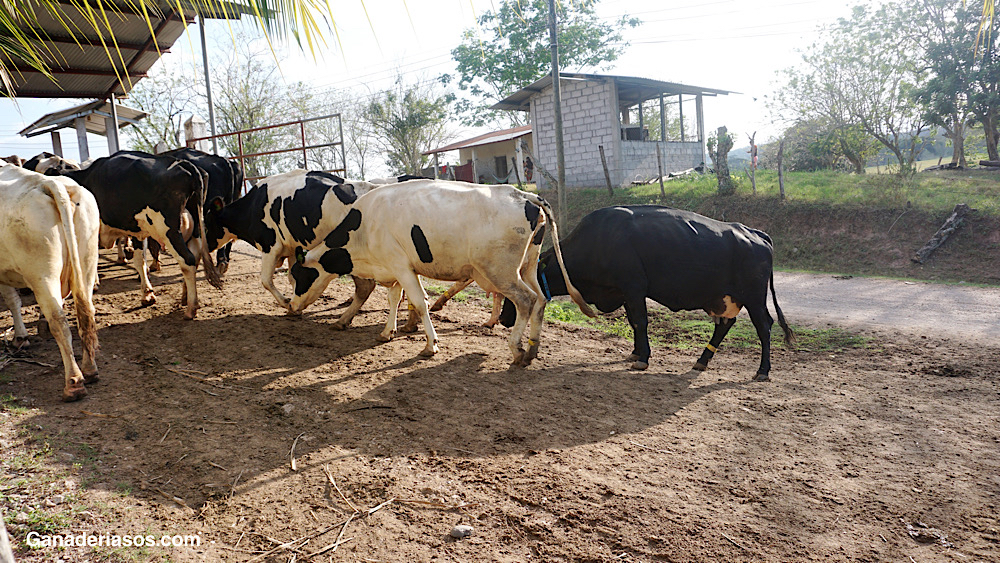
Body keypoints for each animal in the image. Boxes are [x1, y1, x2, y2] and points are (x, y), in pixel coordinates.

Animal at [0, 165, 100, 404]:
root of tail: (48, 182)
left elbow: (12, 300)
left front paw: (20, 337)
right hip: (87, 261)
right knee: (87, 314)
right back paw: (90, 370)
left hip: (41, 273)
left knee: (59, 322)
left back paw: (74, 383)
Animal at [61, 150, 222, 320]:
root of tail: (182, 163)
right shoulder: (137, 232)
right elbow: (140, 262)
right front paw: (147, 295)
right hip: (194, 228)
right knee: (195, 256)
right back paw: (185, 297)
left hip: (168, 231)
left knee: (188, 260)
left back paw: (191, 307)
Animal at [203, 170, 378, 310]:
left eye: (205, 226)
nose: (204, 248)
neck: (252, 208)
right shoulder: (293, 249)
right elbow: (292, 277)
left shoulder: (270, 247)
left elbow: (266, 280)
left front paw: (287, 303)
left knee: (365, 285)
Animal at [286, 180, 592, 366]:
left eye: (299, 277)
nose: (291, 306)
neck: (364, 225)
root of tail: (522, 194)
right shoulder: (396, 266)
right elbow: (394, 299)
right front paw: (387, 332)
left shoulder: (399, 265)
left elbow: (419, 302)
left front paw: (430, 345)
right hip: (527, 266)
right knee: (540, 299)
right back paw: (532, 349)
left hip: (501, 271)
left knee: (525, 301)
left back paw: (517, 350)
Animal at [500, 205, 796, 382]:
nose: (503, 318)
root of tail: (752, 232)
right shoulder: (623, 292)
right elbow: (633, 322)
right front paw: (635, 353)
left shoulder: (634, 287)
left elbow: (641, 322)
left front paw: (642, 358)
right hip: (723, 298)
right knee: (724, 325)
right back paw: (702, 361)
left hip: (754, 298)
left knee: (764, 326)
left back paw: (762, 371)